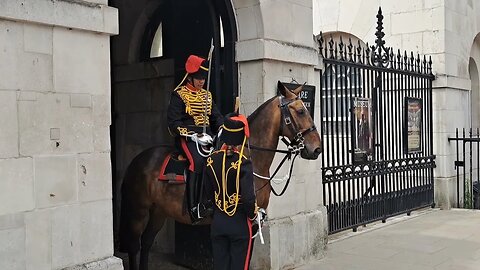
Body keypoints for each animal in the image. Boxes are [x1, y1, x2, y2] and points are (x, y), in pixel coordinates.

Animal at [118, 81, 322, 270]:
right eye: (300, 111)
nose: (317, 149)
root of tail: (137, 160)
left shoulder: (255, 220)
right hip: (139, 211)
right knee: (135, 246)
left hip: (159, 211)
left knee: (146, 242)